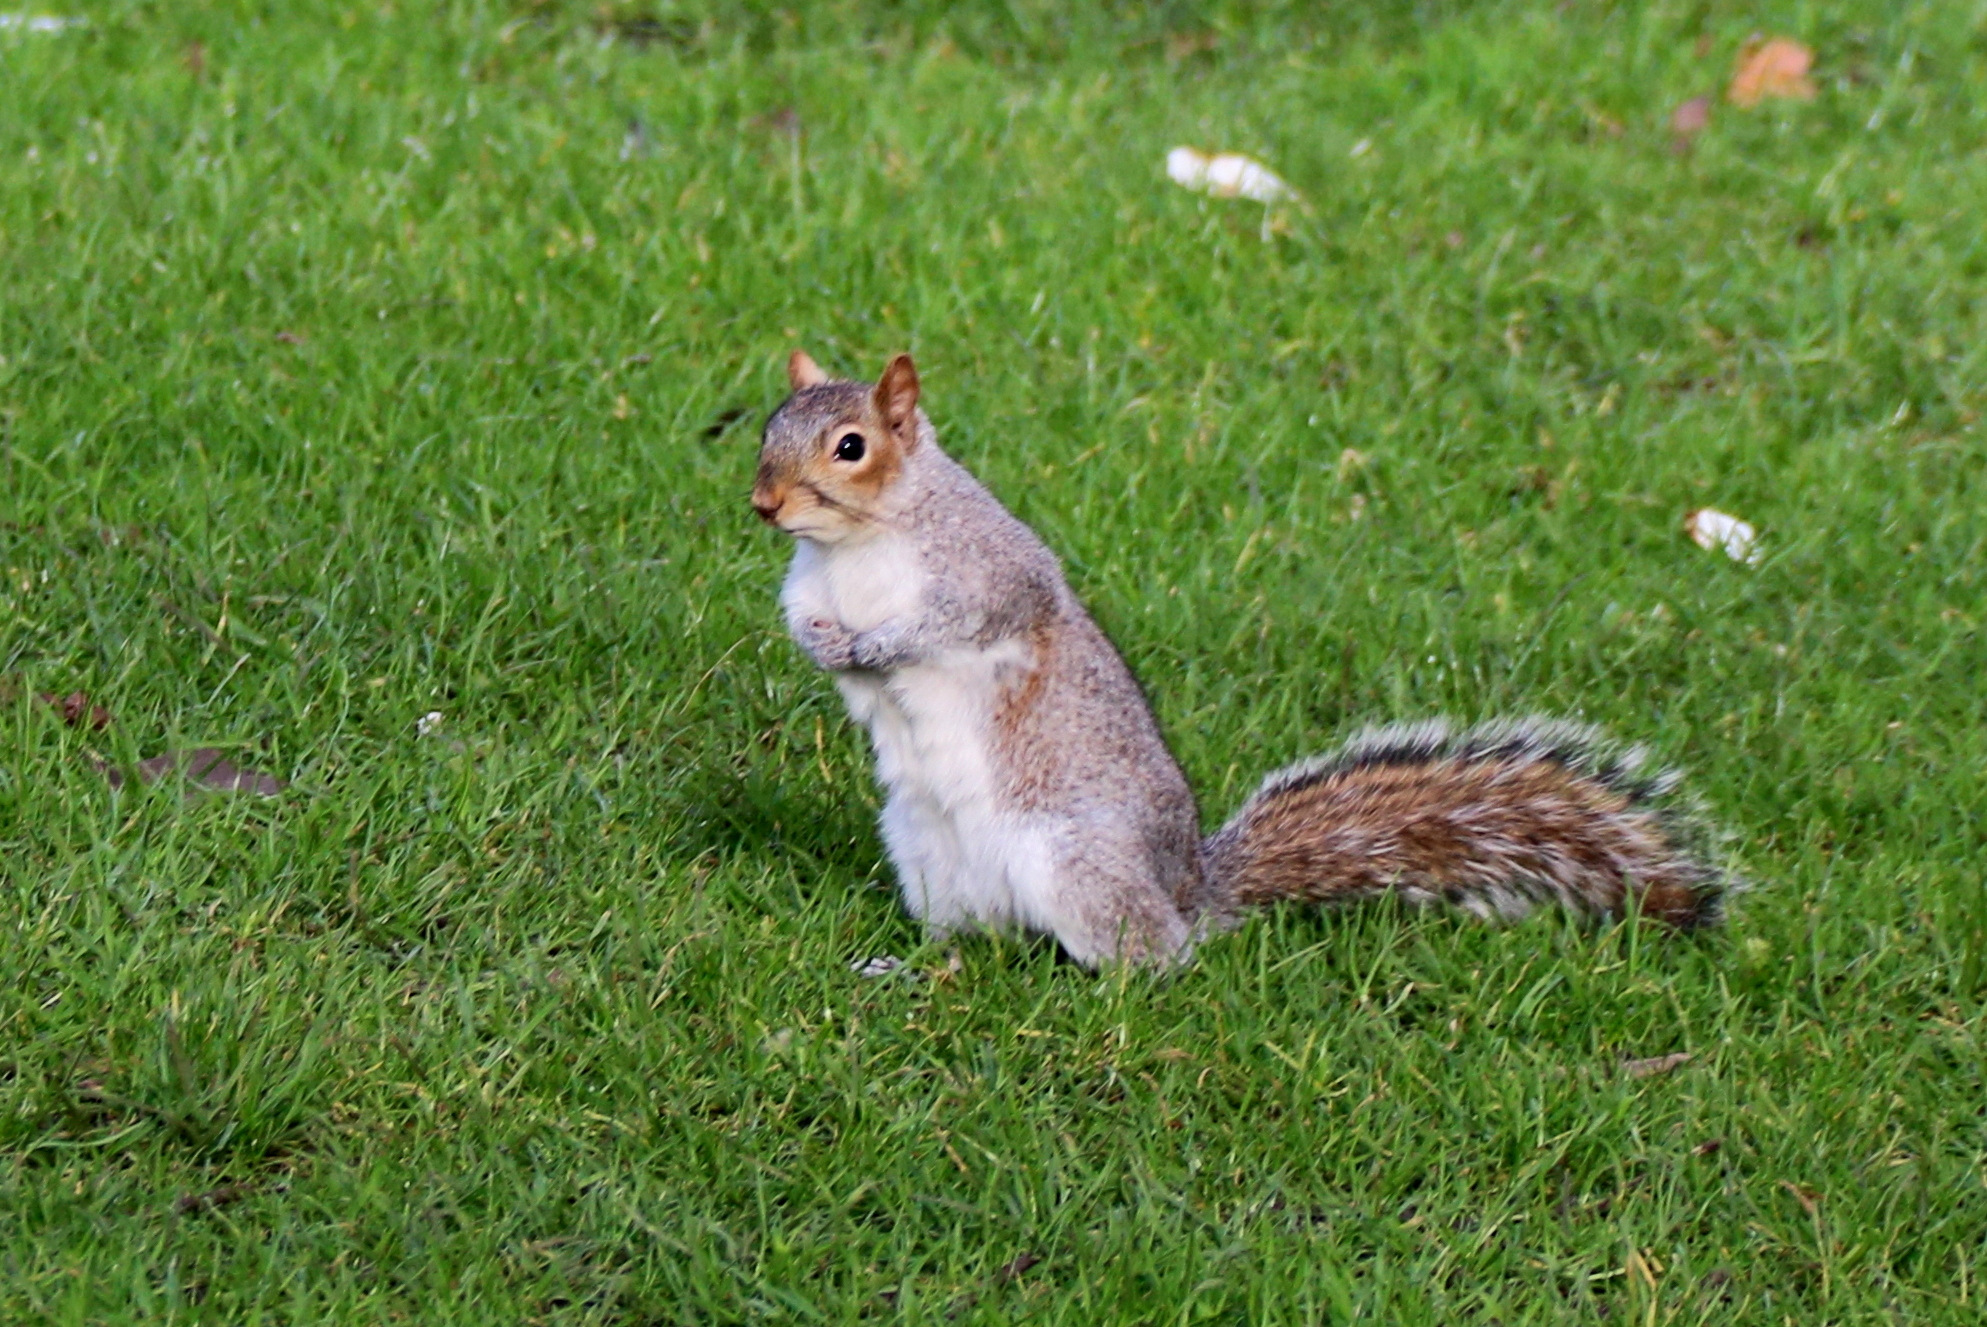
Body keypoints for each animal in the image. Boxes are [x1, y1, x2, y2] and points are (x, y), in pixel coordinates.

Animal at [751, 351, 1732, 969]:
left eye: (851, 446)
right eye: (766, 427)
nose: (762, 505)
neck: (855, 547)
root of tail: (1189, 888)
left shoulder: (991, 570)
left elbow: (969, 616)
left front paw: (881, 642)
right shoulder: (803, 586)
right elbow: (802, 627)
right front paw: (829, 644)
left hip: (1075, 862)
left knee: (1160, 956)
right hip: (927, 857)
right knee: (977, 934)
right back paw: (915, 962)